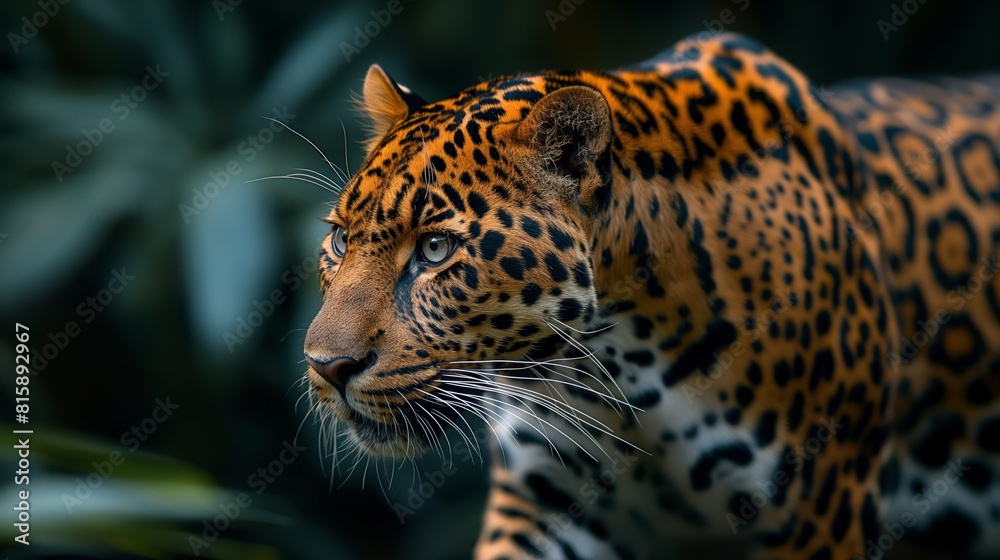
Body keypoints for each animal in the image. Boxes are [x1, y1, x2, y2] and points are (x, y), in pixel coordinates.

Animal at [302, 32, 1000, 559]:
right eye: (339, 239)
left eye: (435, 250)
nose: (325, 367)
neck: (621, 367)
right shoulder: (545, 497)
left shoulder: (824, 503)